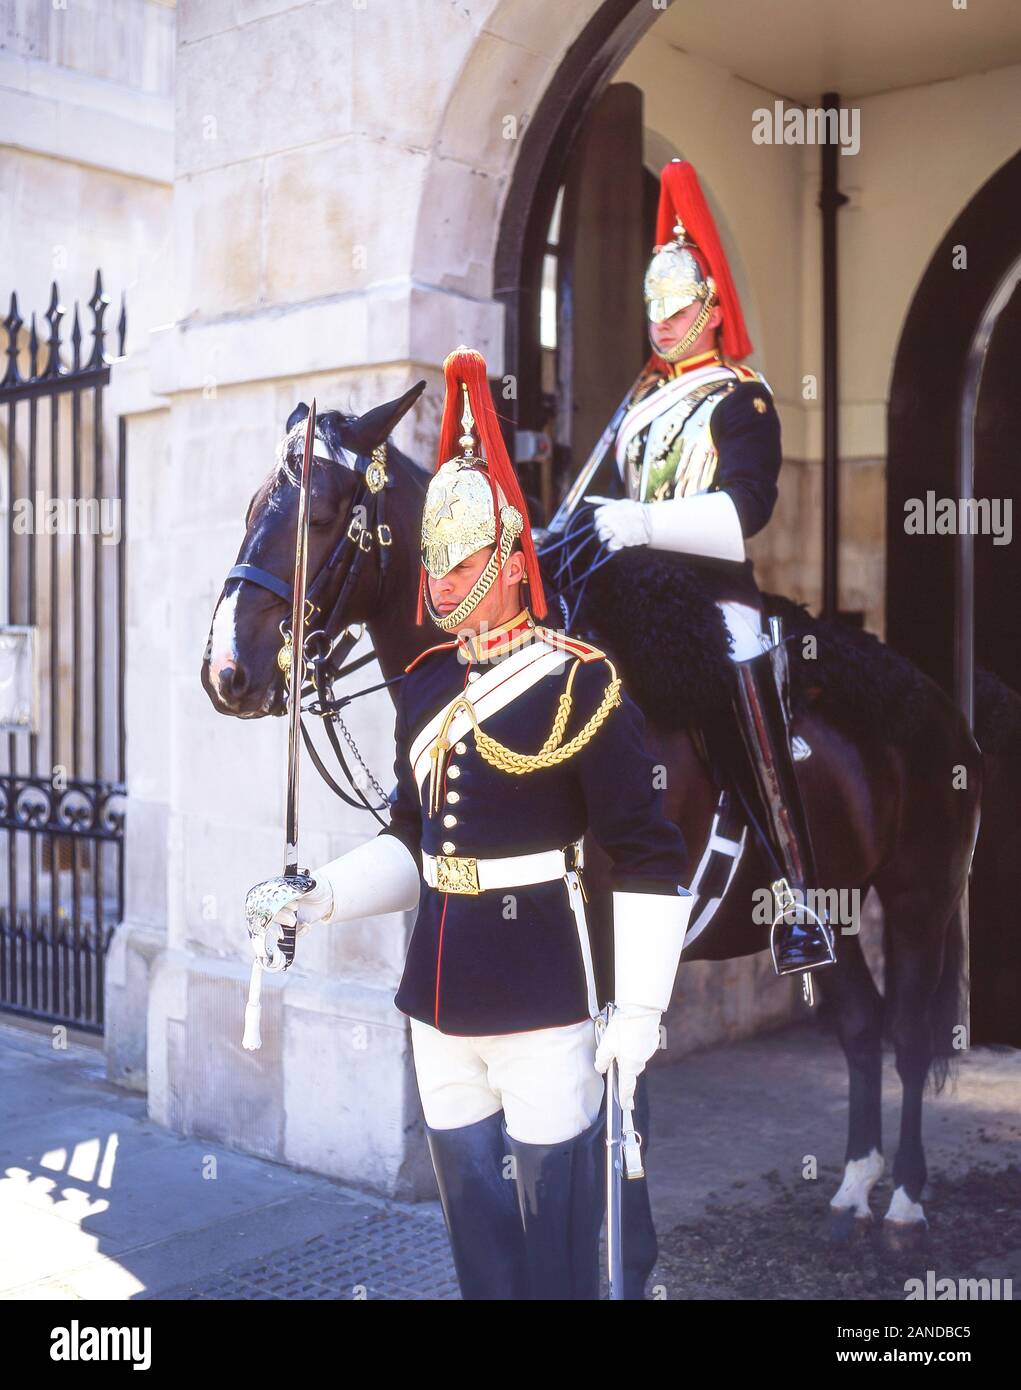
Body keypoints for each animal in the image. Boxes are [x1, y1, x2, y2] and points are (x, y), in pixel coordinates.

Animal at [205, 383, 983, 1262]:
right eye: (252, 506)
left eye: (323, 514)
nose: (226, 671)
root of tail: (940, 705)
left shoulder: (616, 941)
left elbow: (615, 1098)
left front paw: (620, 1247)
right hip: (836, 907)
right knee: (858, 1024)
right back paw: (852, 1187)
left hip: (920, 897)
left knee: (908, 1035)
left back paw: (904, 1201)